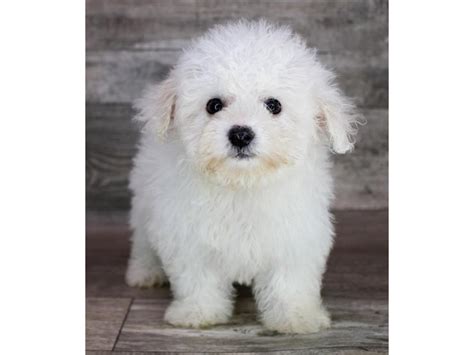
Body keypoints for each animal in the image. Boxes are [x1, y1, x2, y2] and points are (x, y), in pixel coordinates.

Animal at [126, 19, 360, 336]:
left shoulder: (295, 234)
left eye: (274, 105)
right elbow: (197, 278)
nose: (240, 134)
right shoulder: (189, 235)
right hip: (145, 197)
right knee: (142, 239)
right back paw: (144, 272)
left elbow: (289, 282)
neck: (242, 183)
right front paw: (198, 312)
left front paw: (296, 317)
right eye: (214, 105)